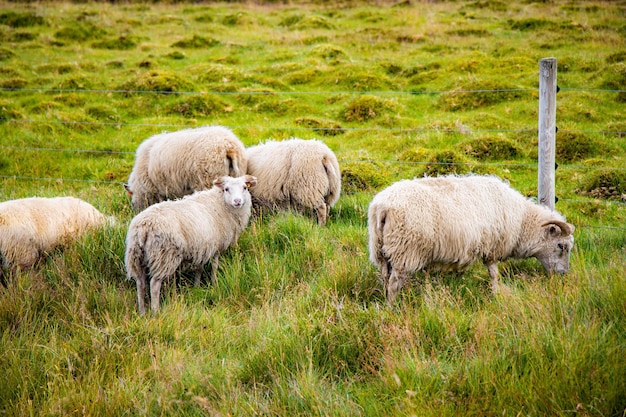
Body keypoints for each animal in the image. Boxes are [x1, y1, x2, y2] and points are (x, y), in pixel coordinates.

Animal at [124, 174, 256, 314]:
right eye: (226, 189)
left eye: (245, 188)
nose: (237, 201)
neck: (220, 203)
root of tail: (143, 227)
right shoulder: (216, 247)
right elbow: (214, 267)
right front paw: (215, 284)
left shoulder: (202, 247)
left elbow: (199, 268)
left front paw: (196, 287)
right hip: (163, 255)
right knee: (154, 284)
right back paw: (156, 311)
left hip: (136, 257)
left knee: (140, 283)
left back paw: (142, 312)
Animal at [366, 173, 576, 302]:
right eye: (561, 245)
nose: (563, 274)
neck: (523, 221)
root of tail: (382, 207)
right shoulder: (492, 248)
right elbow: (494, 274)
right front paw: (495, 294)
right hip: (405, 249)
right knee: (394, 283)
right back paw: (393, 307)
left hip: (382, 250)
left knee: (386, 278)